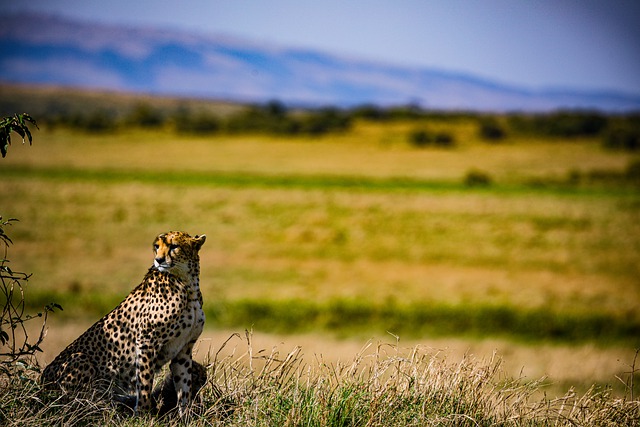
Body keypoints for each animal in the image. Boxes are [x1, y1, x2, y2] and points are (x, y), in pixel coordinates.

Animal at [41, 232, 206, 416]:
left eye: (174, 246)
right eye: (157, 246)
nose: (159, 260)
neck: (187, 285)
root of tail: (41, 382)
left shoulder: (184, 348)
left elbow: (184, 387)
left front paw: (185, 416)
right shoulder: (146, 341)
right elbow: (145, 382)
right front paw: (142, 414)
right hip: (80, 358)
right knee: (74, 403)